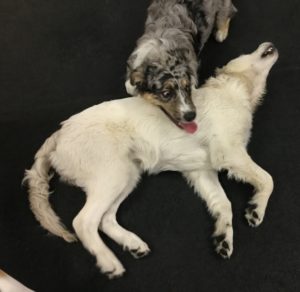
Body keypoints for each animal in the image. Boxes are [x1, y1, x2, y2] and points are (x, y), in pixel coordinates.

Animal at [24, 42, 278, 278]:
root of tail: (59, 135)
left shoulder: (202, 171)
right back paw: (109, 262)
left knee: (105, 219)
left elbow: (223, 203)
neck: (236, 90)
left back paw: (133, 244)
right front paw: (256, 210)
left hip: (128, 176)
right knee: (84, 221)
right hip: (113, 175)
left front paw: (224, 238)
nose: (270, 44)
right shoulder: (230, 152)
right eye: (247, 51)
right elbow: (268, 179)